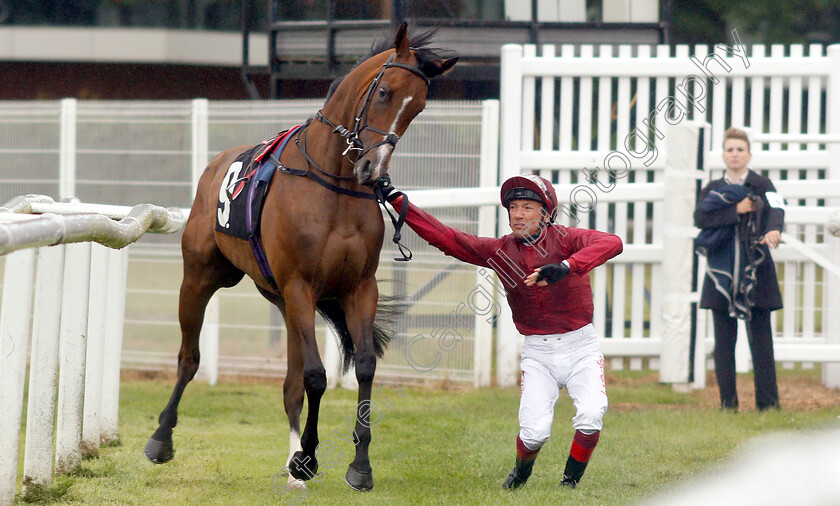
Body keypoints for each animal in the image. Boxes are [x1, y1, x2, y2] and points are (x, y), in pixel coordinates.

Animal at [145, 22, 460, 490]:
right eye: (385, 92)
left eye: (417, 107)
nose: (372, 169)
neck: (332, 182)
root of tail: (216, 163)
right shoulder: (300, 286)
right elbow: (316, 375)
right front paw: (308, 457)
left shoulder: (357, 288)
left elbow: (363, 365)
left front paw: (358, 465)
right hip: (202, 277)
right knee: (189, 358)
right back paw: (161, 437)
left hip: (279, 298)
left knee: (290, 384)